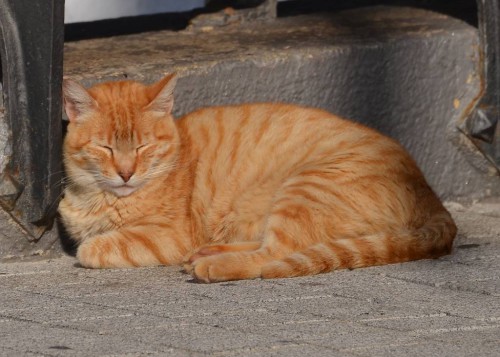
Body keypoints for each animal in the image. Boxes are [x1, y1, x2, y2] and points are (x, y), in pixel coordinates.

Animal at [58, 73, 458, 282]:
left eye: (143, 147)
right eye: (105, 148)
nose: (126, 173)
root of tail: (430, 195)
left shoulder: (166, 236)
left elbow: (92, 247)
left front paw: (92, 247)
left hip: (304, 187)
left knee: (273, 256)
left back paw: (211, 264)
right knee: (267, 246)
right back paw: (206, 252)